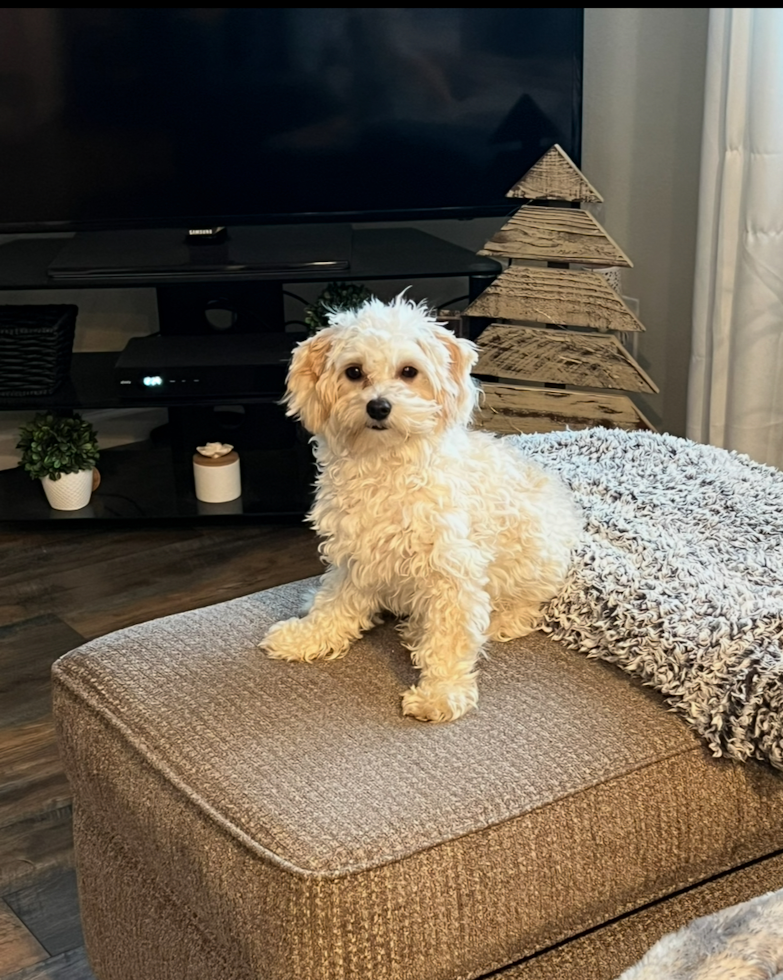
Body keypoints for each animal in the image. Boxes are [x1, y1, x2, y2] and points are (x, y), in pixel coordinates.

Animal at [258, 294, 580, 724]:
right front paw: (308, 634)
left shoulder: (453, 570)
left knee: (522, 608)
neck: (385, 464)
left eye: (409, 372)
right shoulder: (357, 556)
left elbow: (449, 639)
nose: (378, 407)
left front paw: (440, 693)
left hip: (534, 562)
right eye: (354, 372)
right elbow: (336, 604)